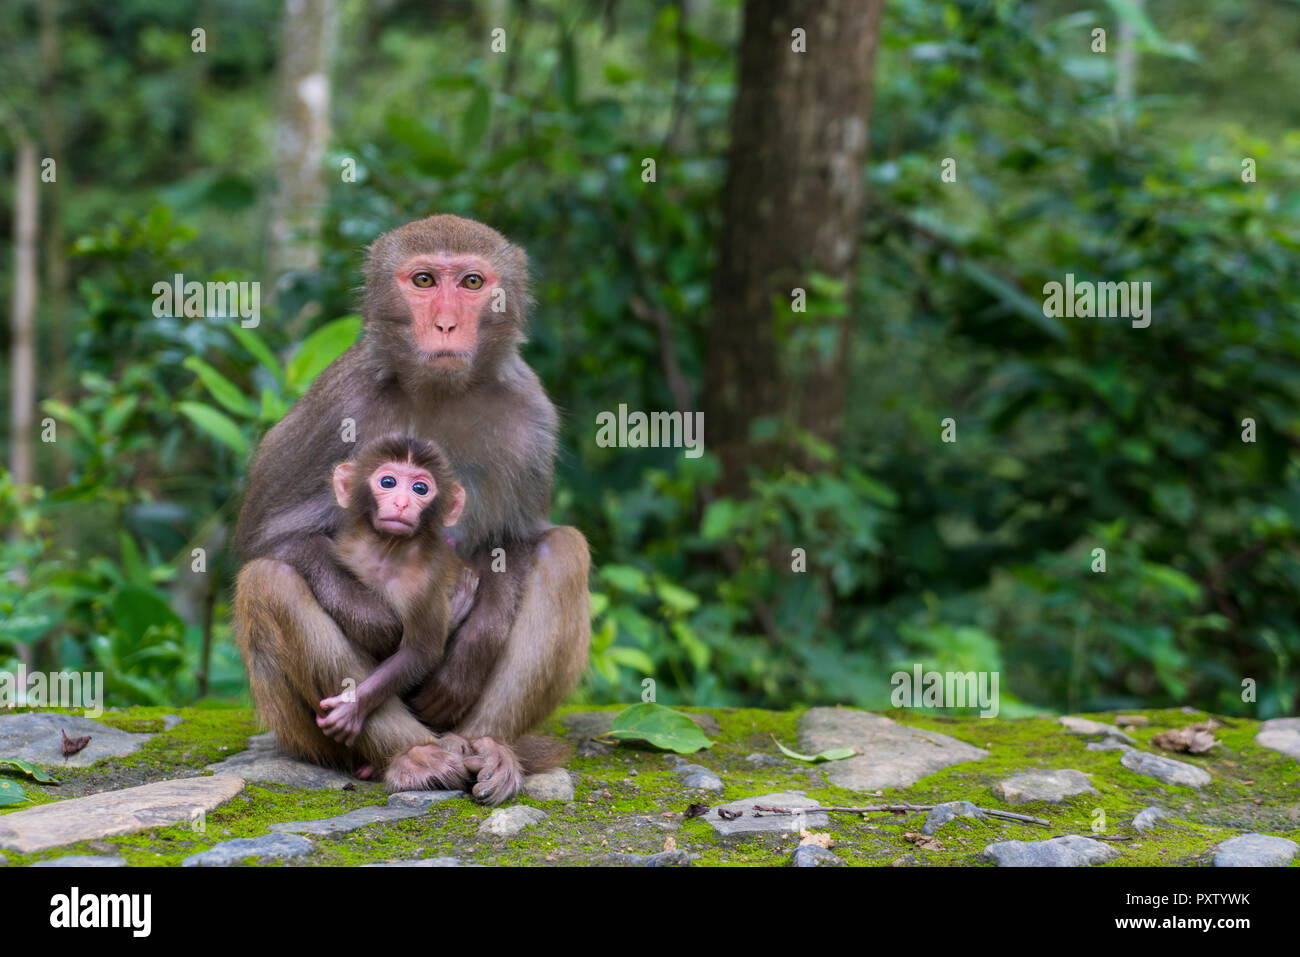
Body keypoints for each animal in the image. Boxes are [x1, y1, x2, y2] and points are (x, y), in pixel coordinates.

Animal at [313, 434, 469, 753]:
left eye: (420, 488)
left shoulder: (423, 579)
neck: (388, 550)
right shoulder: (349, 548)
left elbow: (420, 652)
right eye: (388, 482)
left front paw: (354, 705)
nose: (401, 502)